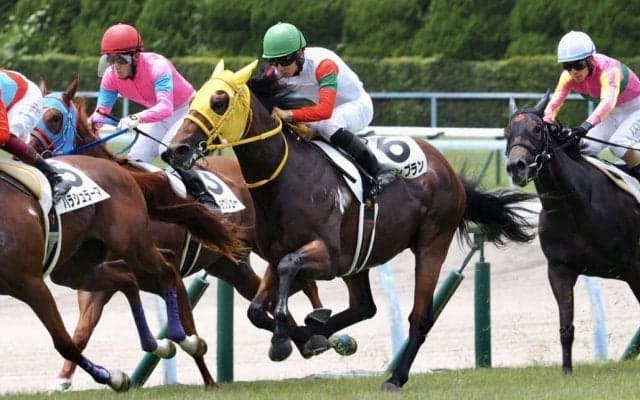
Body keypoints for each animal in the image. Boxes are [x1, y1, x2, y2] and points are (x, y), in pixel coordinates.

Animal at [0, 150, 240, 392]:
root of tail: (122, 171)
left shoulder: (31, 283)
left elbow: (64, 343)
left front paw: (111, 377)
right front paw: (115, 379)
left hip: (134, 244)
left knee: (167, 269)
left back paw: (186, 340)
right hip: (76, 268)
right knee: (127, 278)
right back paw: (160, 346)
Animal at [29, 78, 326, 390]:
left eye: (54, 118)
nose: (28, 149)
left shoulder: (159, 270)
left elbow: (186, 324)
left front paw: (208, 378)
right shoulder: (99, 282)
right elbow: (83, 330)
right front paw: (65, 380)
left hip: (264, 242)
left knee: (304, 281)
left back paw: (322, 330)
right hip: (229, 265)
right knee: (264, 287)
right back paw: (300, 340)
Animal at [162, 59, 535, 390]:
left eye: (219, 101)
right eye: (192, 101)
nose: (176, 149)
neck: (286, 179)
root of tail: (448, 170)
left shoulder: (327, 257)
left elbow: (289, 268)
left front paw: (289, 337)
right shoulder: (276, 254)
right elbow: (257, 307)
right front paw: (304, 336)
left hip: (431, 243)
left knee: (419, 316)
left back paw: (395, 378)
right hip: (359, 258)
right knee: (364, 306)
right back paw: (324, 332)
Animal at [505, 93, 640, 374]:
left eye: (537, 129)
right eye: (506, 131)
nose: (517, 166)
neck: (576, 207)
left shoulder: (634, 265)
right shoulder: (560, 269)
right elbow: (565, 326)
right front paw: (567, 371)